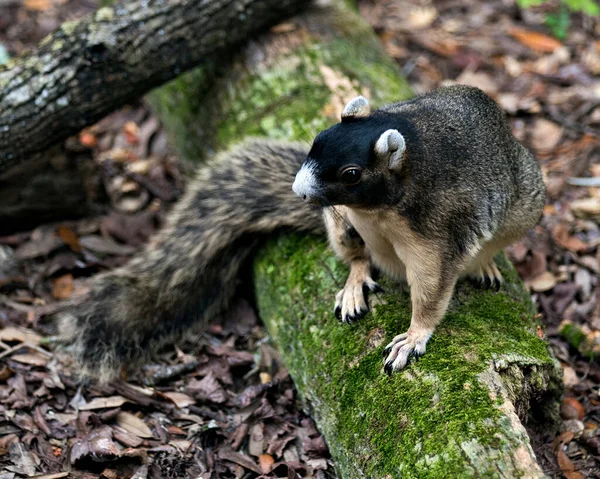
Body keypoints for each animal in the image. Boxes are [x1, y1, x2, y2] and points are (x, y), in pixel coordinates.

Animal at [58, 86, 548, 382]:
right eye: (316, 139)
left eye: (351, 174)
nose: (298, 189)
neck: (381, 210)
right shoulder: (349, 215)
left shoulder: (440, 234)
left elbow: (431, 292)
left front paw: (413, 337)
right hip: (344, 230)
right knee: (356, 254)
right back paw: (355, 281)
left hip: (523, 207)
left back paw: (484, 263)